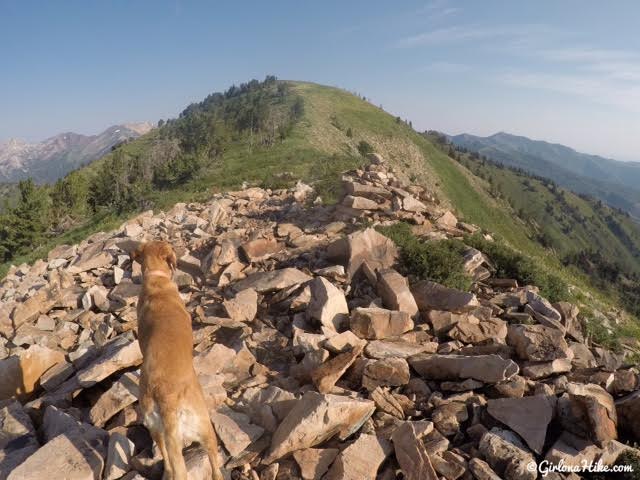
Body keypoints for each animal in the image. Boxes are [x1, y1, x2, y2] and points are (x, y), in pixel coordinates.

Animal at [130, 242, 222, 480]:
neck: (156, 278)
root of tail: (167, 401)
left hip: (156, 429)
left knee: (167, 458)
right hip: (205, 428)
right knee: (215, 467)